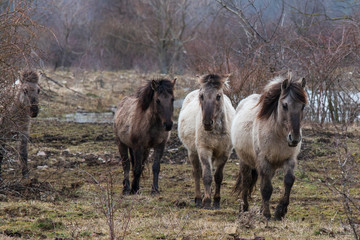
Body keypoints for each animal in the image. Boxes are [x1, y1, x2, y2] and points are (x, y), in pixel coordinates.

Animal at [178, 74, 235, 209]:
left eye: (218, 96)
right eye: (202, 96)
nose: (207, 123)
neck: (217, 131)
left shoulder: (225, 153)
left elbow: (218, 176)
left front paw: (217, 201)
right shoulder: (204, 149)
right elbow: (207, 176)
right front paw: (207, 201)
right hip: (192, 152)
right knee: (197, 173)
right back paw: (198, 199)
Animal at [232, 74, 308, 220]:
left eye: (303, 106)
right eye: (284, 105)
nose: (295, 138)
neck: (278, 134)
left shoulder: (290, 159)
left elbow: (288, 181)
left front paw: (280, 211)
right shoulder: (263, 161)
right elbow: (266, 188)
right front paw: (267, 214)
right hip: (245, 161)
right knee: (246, 181)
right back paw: (244, 208)